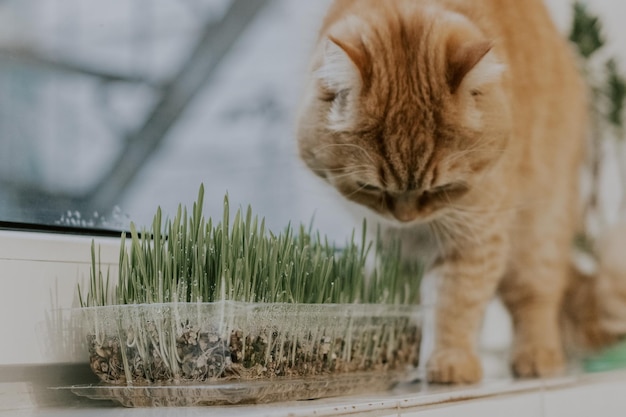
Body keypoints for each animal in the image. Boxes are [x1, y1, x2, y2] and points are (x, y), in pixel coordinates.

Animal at [294, 0, 624, 384]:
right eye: (370, 188)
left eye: (442, 188)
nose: (405, 216)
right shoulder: (392, 247)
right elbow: (405, 302)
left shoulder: (475, 238)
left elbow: (455, 303)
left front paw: (450, 362)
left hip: (539, 231)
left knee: (536, 299)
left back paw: (537, 356)